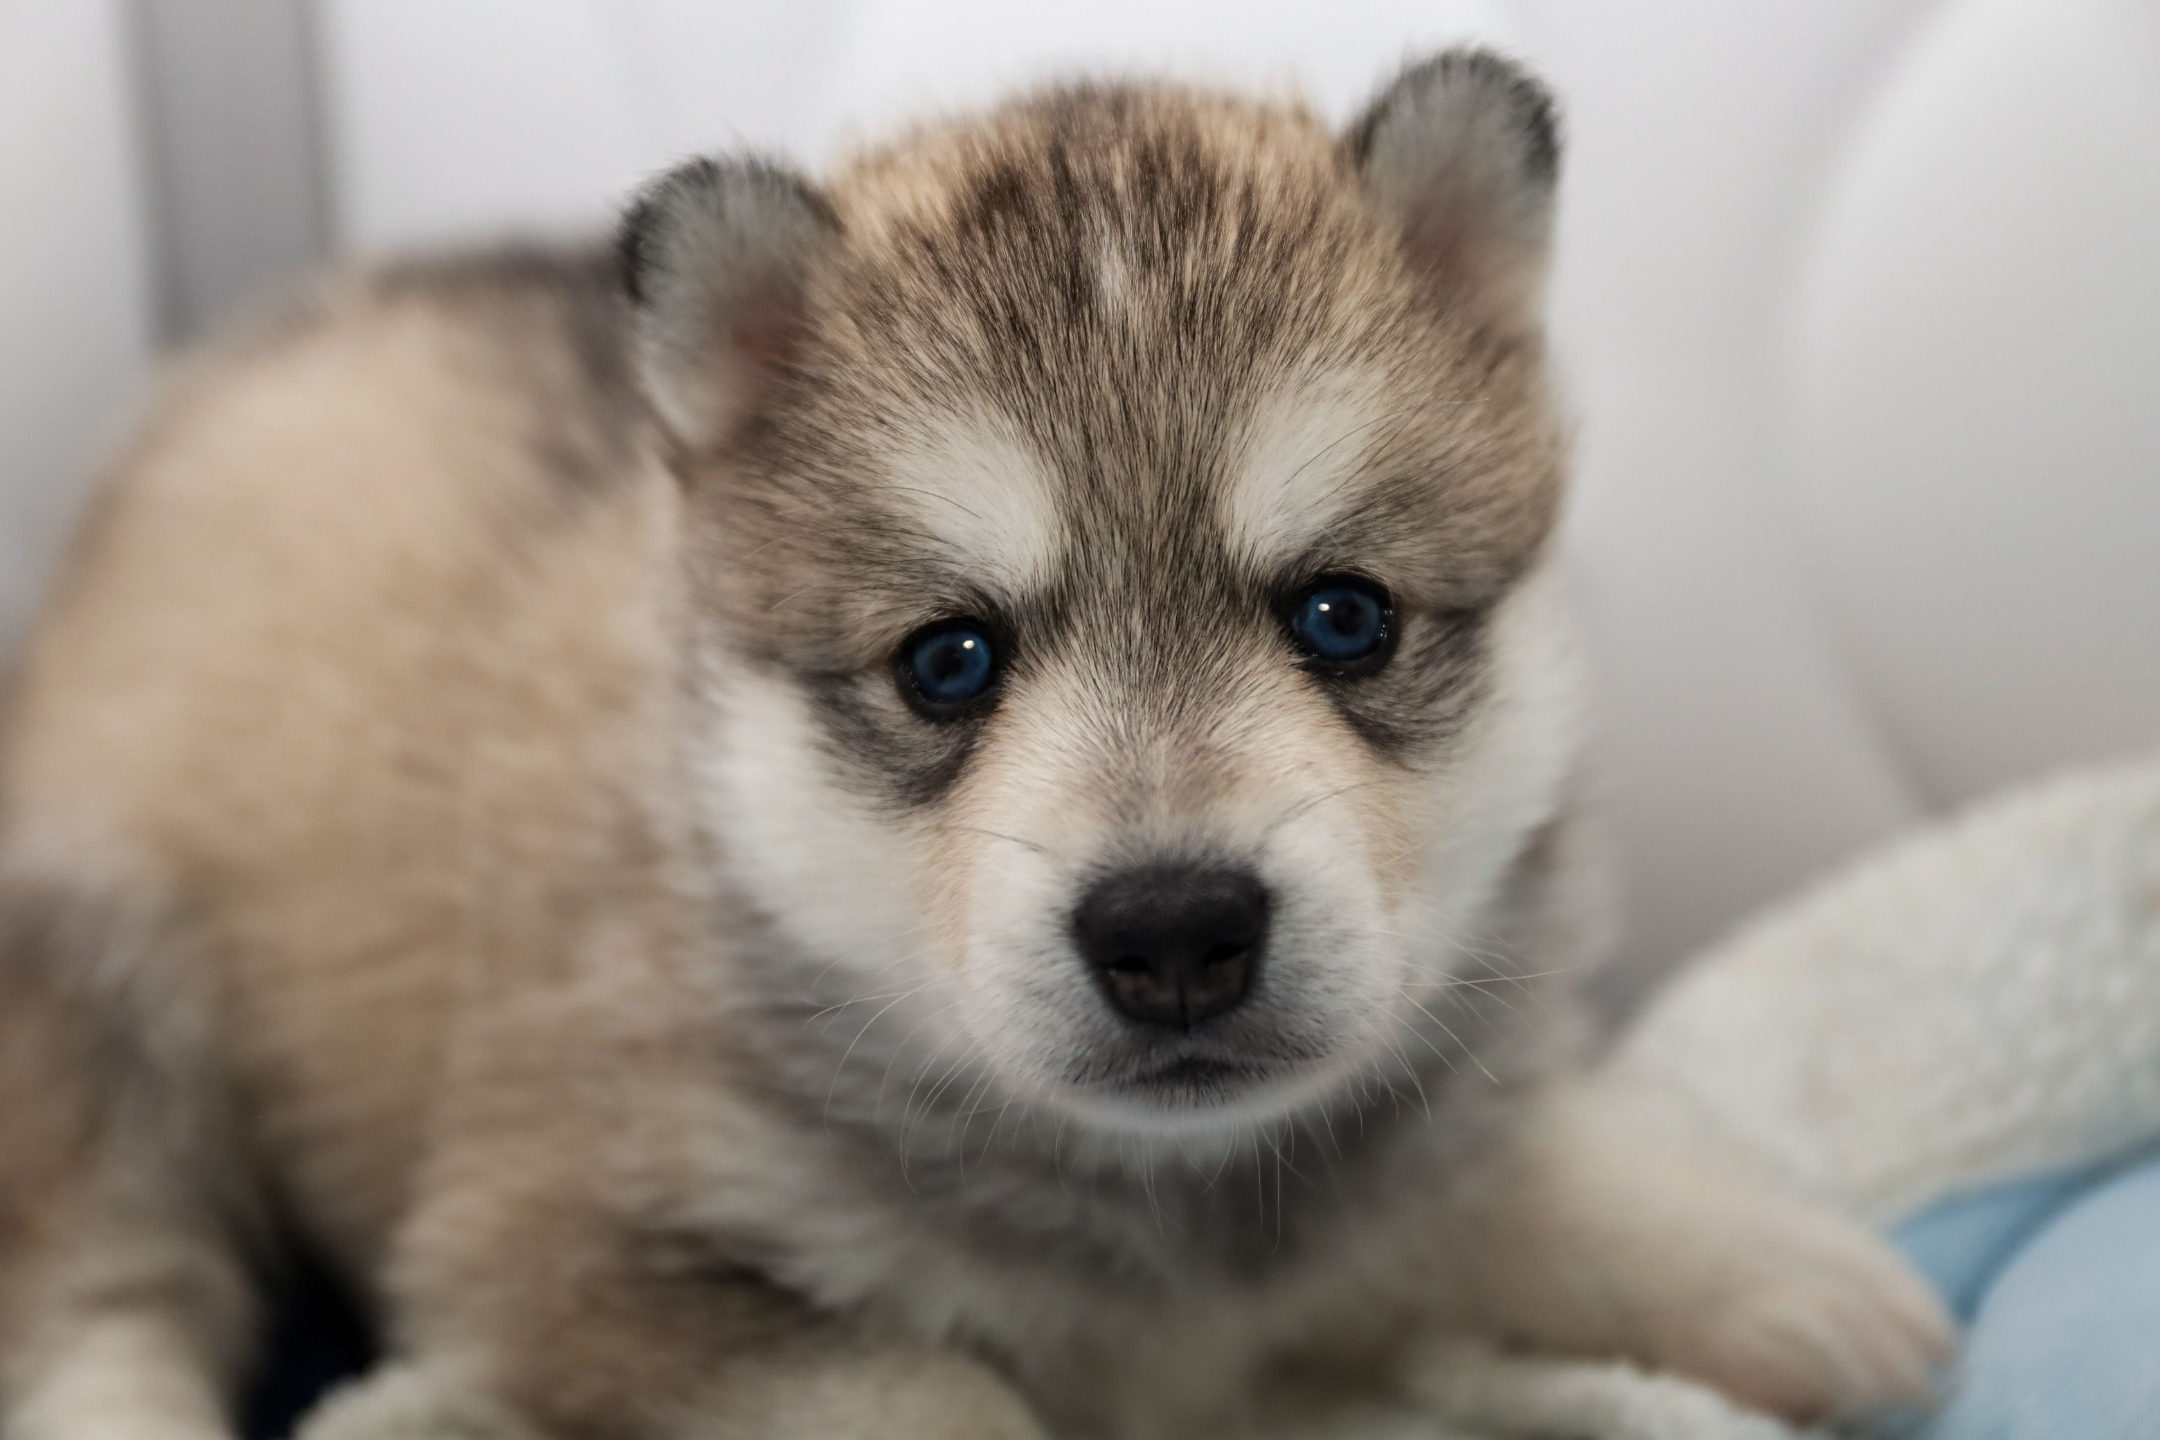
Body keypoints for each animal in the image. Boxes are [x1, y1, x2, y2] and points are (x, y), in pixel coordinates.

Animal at [0, 50, 1950, 1440]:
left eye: (1345, 617)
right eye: (949, 662)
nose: (1175, 931)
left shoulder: (1393, 1145)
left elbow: (1506, 1169)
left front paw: (1778, 1269)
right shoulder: (570, 1257)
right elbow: (937, 1387)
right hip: (103, 988)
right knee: (103, 1299)